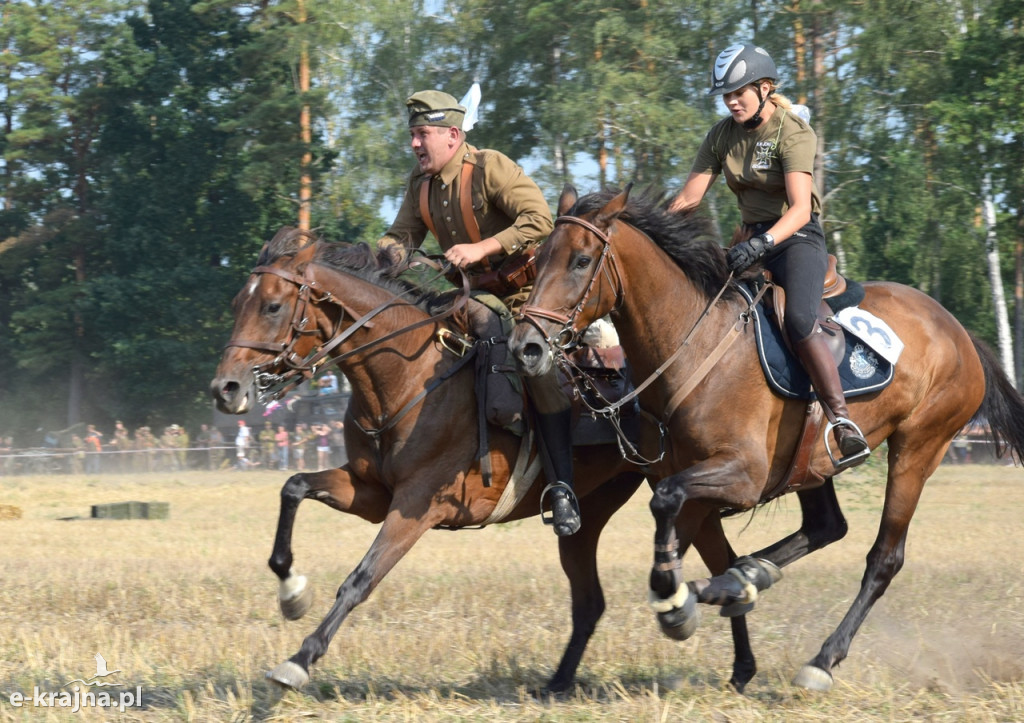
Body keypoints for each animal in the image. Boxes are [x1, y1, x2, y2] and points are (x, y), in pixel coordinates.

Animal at [207, 229, 765, 692]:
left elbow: (360, 579)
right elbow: (294, 487)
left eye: (273, 306)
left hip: (687, 485)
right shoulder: (369, 493)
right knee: (598, 597)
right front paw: (291, 592)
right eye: (237, 303)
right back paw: (568, 681)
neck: (409, 381)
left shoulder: (415, 508)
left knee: (716, 559)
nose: (225, 389)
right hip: (595, 514)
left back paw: (730, 655)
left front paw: (299, 661)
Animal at [509, 184, 1024, 688]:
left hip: (917, 449)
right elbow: (675, 523)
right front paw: (688, 598)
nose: (525, 347)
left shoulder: (744, 475)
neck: (691, 345)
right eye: (539, 258)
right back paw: (745, 578)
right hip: (813, 464)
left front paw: (679, 605)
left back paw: (820, 658)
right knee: (825, 526)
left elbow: (667, 505)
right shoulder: (684, 473)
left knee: (884, 558)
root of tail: (960, 332)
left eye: (580, 261)